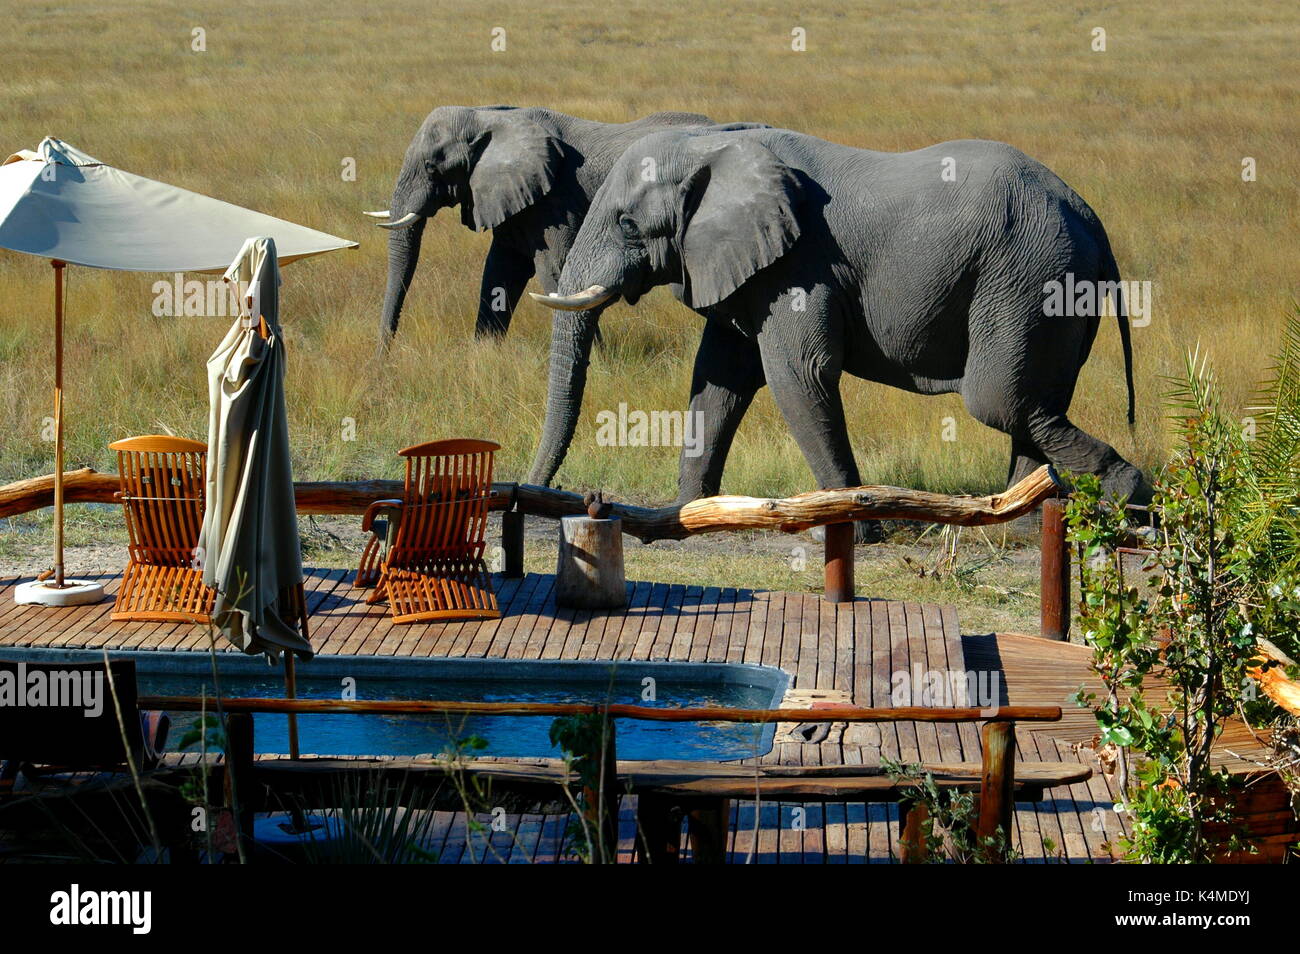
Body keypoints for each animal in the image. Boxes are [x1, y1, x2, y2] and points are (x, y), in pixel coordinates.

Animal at [371, 106, 754, 350]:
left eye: (431, 165)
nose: (384, 357)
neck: (490, 116)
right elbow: (500, 272)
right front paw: (483, 356)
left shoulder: (557, 200)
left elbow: (554, 269)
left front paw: (601, 365)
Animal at [527, 124, 1149, 527]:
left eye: (628, 224)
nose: (541, 490)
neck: (711, 145)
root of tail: (1094, 223)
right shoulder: (750, 269)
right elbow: (719, 378)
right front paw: (687, 512)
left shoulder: (801, 264)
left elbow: (797, 373)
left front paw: (855, 522)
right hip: (1050, 289)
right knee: (1030, 401)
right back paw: (1018, 518)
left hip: (1030, 277)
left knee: (1000, 400)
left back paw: (1128, 497)